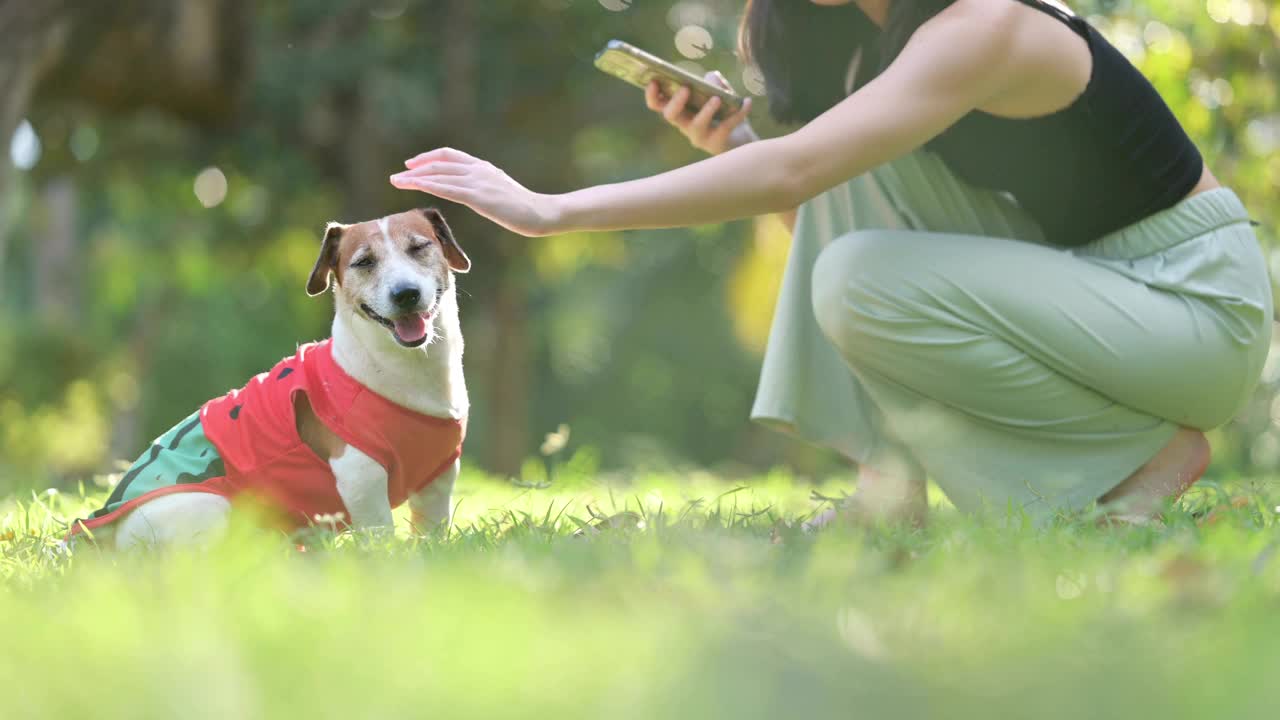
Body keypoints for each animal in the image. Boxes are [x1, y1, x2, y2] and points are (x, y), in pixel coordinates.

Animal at [71, 207, 471, 548]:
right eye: (364, 262)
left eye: (419, 247)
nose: (406, 294)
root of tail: (100, 536)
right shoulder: (361, 476)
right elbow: (380, 534)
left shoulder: (440, 478)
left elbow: (432, 528)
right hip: (214, 510)